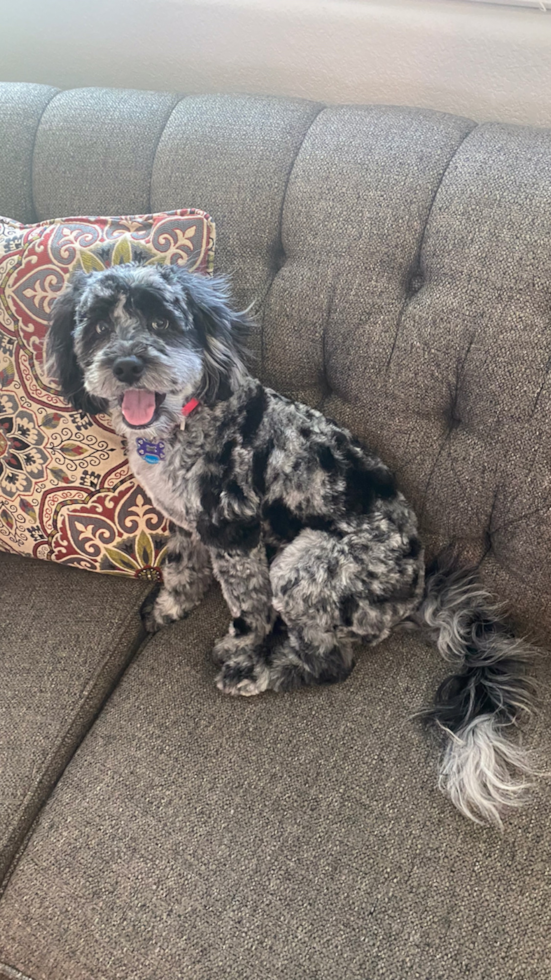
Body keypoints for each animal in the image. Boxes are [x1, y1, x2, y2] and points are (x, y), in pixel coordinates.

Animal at [47, 262, 540, 828]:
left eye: (162, 322)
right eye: (99, 328)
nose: (127, 363)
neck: (184, 421)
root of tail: (415, 595)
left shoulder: (233, 532)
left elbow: (247, 610)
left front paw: (238, 649)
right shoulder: (187, 523)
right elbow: (179, 568)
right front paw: (171, 606)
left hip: (301, 566)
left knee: (329, 660)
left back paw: (260, 673)